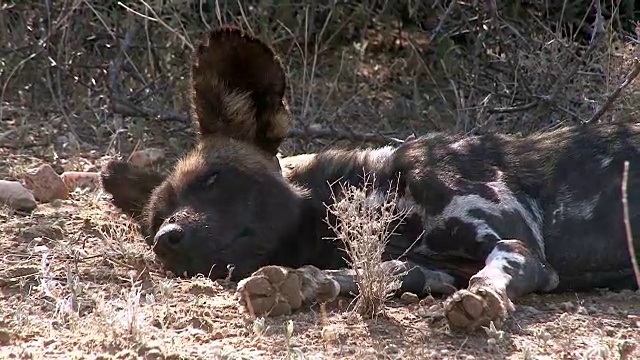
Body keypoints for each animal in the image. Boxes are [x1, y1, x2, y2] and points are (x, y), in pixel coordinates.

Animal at [100, 25, 640, 332]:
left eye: (214, 179)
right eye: (155, 221)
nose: (168, 239)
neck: (385, 195)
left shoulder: (521, 247)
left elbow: (490, 275)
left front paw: (482, 302)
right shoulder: (431, 269)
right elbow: (367, 273)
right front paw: (298, 284)